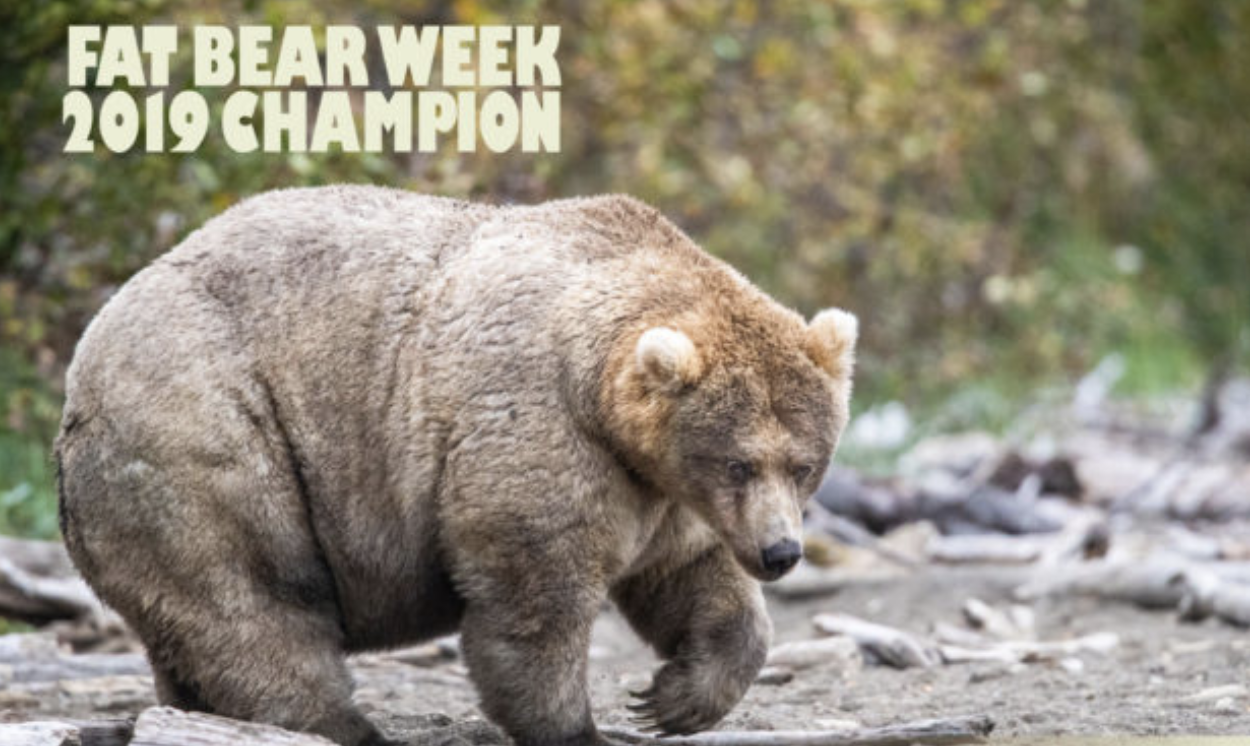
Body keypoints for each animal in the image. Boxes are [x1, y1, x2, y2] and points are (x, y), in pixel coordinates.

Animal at [55, 186, 858, 746]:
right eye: (739, 463)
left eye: (804, 464)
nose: (781, 552)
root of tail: (86, 353)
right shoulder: (540, 430)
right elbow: (534, 599)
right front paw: (578, 724)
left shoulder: (661, 491)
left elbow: (689, 578)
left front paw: (674, 697)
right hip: (207, 429)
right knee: (250, 596)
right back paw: (343, 724)